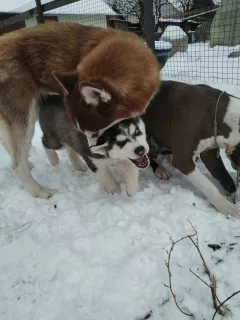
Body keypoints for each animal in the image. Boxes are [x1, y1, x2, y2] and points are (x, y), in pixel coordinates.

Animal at [142, 81, 240, 219]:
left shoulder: (210, 152)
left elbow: (224, 176)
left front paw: (232, 198)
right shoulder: (183, 160)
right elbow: (207, 185)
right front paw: (228, 208)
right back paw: (159, 169)